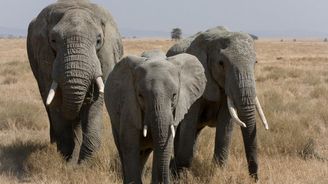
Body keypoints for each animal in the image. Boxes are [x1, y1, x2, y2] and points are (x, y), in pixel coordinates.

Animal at [26, 0, 123, 164]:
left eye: (98, 40)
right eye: (53, 40)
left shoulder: (105, 54)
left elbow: (95, 102)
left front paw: (84, 164)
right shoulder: (44, 55)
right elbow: (55, 102)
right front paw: (68, 161)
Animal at [105, 49, 206, 183]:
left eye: (174, 95)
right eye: (140, 96)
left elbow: (164, 146)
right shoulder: (129, 104)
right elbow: (129, 145)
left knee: (144, 153)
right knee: (123, 149)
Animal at [167, 26, 270, 181]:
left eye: (255, 63)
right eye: (221, 64)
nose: (255, 179)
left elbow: (225, 126)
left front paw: (218, 173)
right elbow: (189, 122)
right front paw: (181, 177)